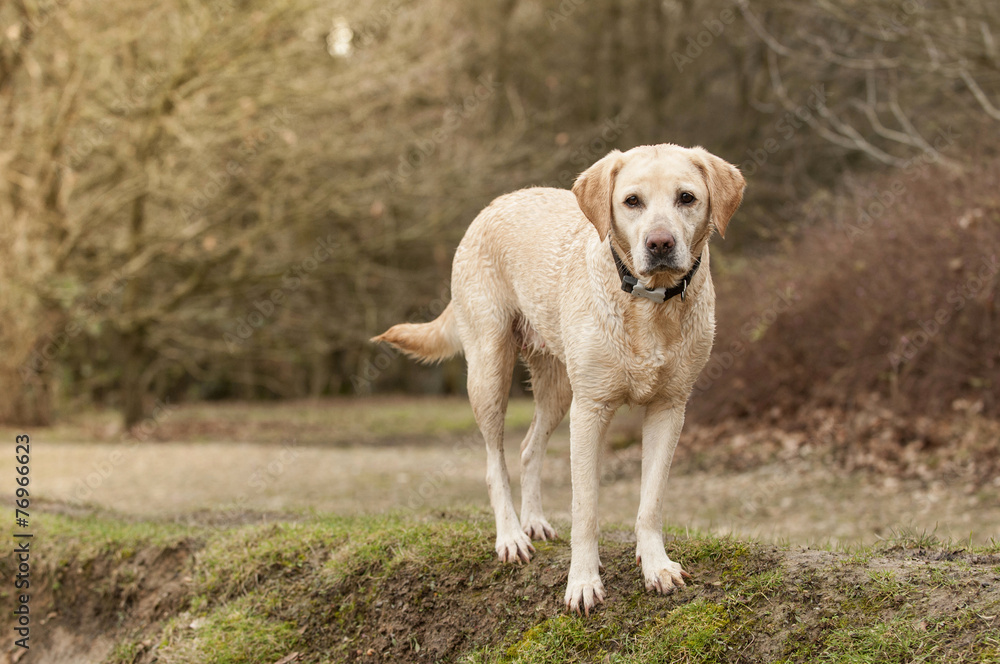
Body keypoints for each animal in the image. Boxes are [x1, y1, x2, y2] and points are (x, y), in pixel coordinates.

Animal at [374, 143, 744, 616]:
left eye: (686, 198)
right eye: (632, 201)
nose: (660, 243)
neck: (649, 306)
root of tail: (494, 204)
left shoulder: (670, 409)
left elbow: (651, 500)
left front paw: (656, 565)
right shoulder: (591, 410)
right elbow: (585, 508)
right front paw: (583, 582)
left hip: (557, 387)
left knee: (529, 448)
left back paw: (533, 521)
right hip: (490, 371)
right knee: (494, 461)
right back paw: (512, 536)